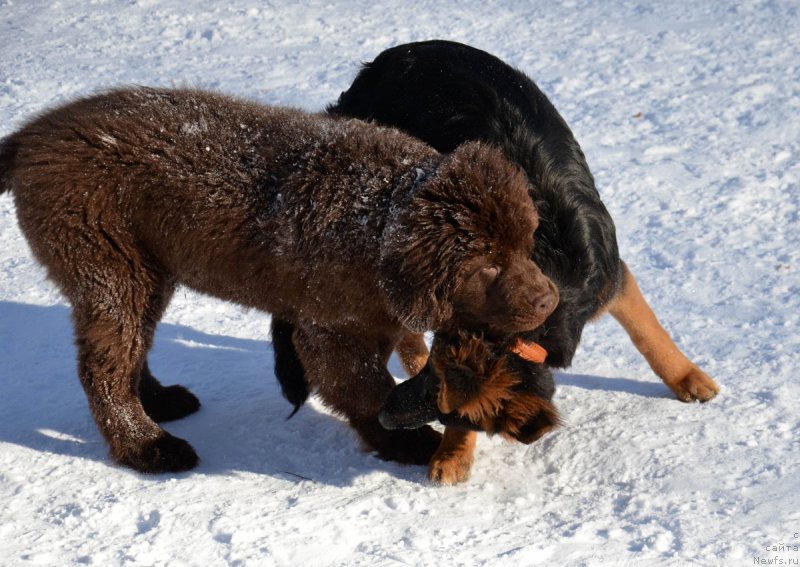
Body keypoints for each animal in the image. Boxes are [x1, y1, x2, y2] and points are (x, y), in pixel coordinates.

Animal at [0, 85, 560, 474]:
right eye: (485, 265)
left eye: (527, 243)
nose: (548, 301)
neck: (380, 218)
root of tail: (31, 137)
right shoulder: (333, 328)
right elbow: (365, 389)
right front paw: (406, 442)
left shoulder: (381, 317)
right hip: (108, 265)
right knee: (105, 366)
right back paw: (148, 447)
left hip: (147, 270)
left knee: (133, 348)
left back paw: (162, 403)